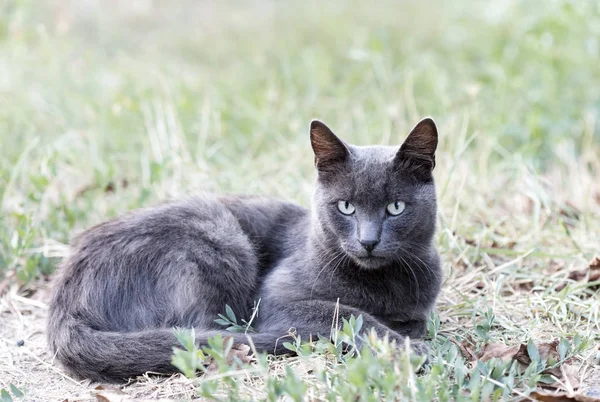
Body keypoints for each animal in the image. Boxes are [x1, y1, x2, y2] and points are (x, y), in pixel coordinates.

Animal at [45, 117, 440, 384]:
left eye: (395, 207)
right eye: (346, 207)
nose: (368, 241)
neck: (381, 283)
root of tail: (65, 303)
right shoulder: (277, 300)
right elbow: (345, 313)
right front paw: (405, 348)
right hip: (219, 233)